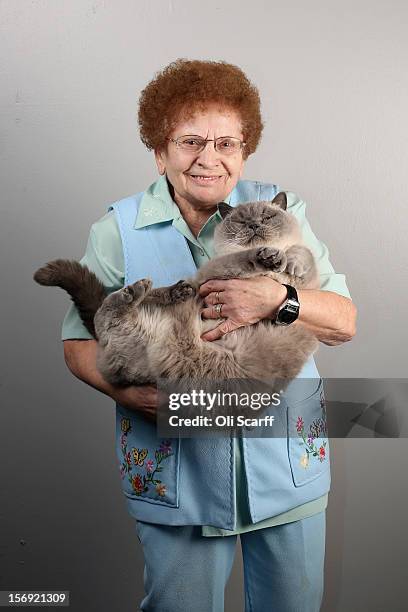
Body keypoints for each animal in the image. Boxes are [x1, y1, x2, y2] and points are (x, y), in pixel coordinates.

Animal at [34, 194, 318, 390]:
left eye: (267, 218)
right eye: (240, 221)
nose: (254, 226)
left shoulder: (310, 283)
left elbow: (304, 253)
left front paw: (289, 261)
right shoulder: (215, 272)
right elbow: (242, 258)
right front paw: (270, 257)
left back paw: (161, 291)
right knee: (108, 310)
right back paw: (145, 290)